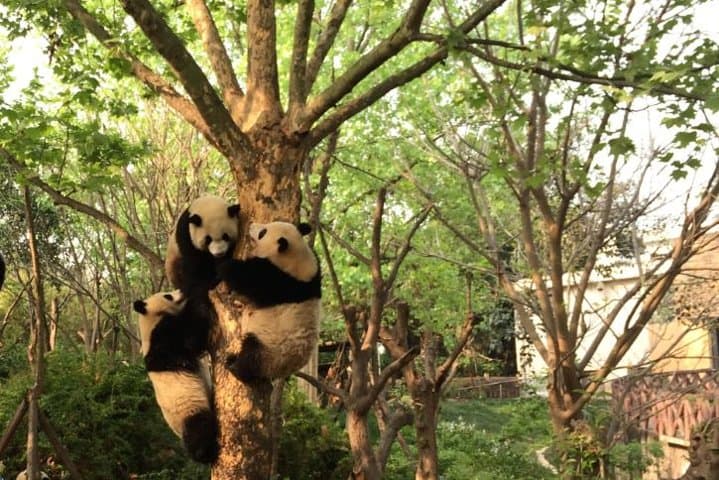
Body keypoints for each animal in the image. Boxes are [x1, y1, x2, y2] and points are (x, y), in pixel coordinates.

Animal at [132, 290, 218, 464]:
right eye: (167, 295)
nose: (181, 292)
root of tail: (177, 432)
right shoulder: (163, 340)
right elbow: (192, 340)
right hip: (188, 412)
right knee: (199, 429)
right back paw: (205, 453)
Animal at [218, 221, 321, 383]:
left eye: (263, 232)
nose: (252, 226)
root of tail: (282, 372)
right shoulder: (314, 275)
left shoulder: (277, 282)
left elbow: (248, 279)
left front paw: (226, 265)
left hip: (272, 350)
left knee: (252, 352)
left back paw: (235, 366)